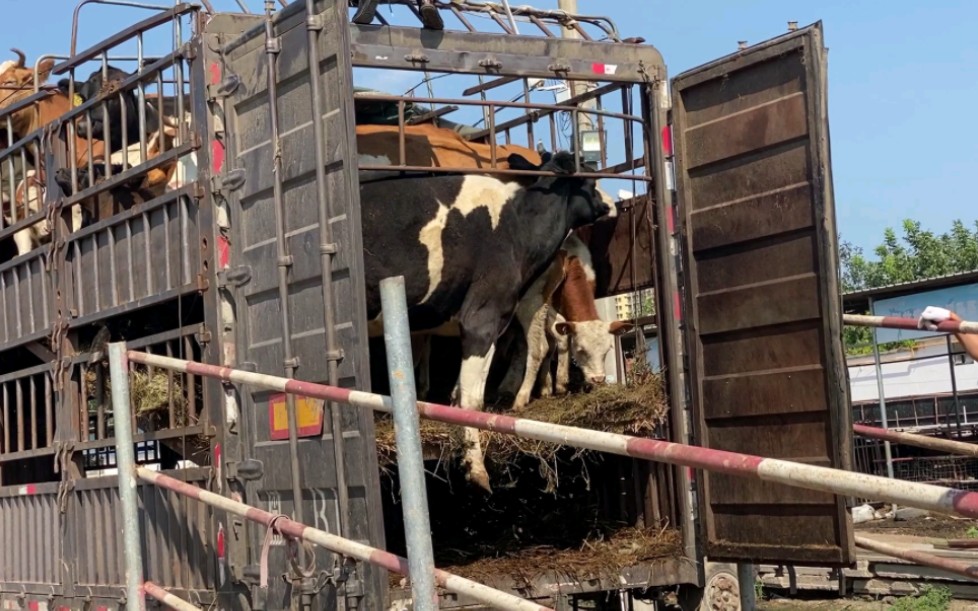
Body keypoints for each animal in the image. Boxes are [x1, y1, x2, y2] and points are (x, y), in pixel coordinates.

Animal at [362, 152, 612, 492]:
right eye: (590, 179)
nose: (611, 204)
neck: (517, 225)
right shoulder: (482, 318)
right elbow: (471, 401)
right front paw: (476, 468)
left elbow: (464, 396)